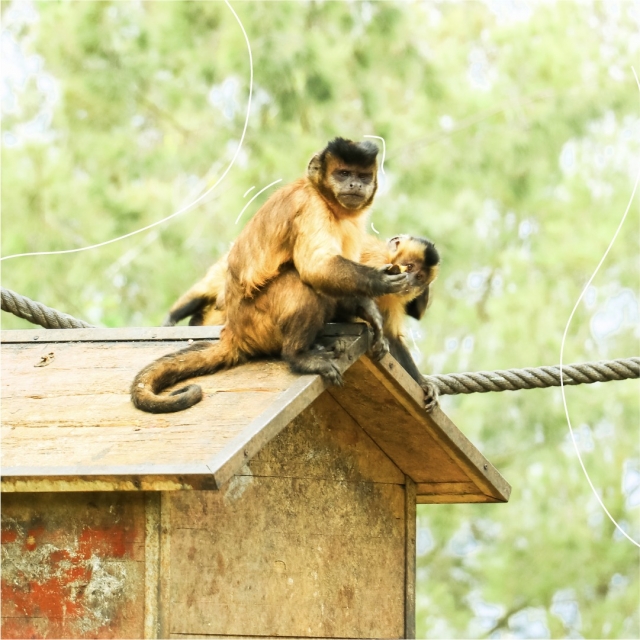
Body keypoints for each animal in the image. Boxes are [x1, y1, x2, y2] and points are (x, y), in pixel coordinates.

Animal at [131, 137, 409, 413]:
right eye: (343, 174)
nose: (355, 184)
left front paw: (370, 313)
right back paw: (298, 356)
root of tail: (233, 331)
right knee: (299, 282)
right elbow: (316, 268)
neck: (324, 198)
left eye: (362, 176)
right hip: (257, 322)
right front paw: (380, 282)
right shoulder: (309, 206)